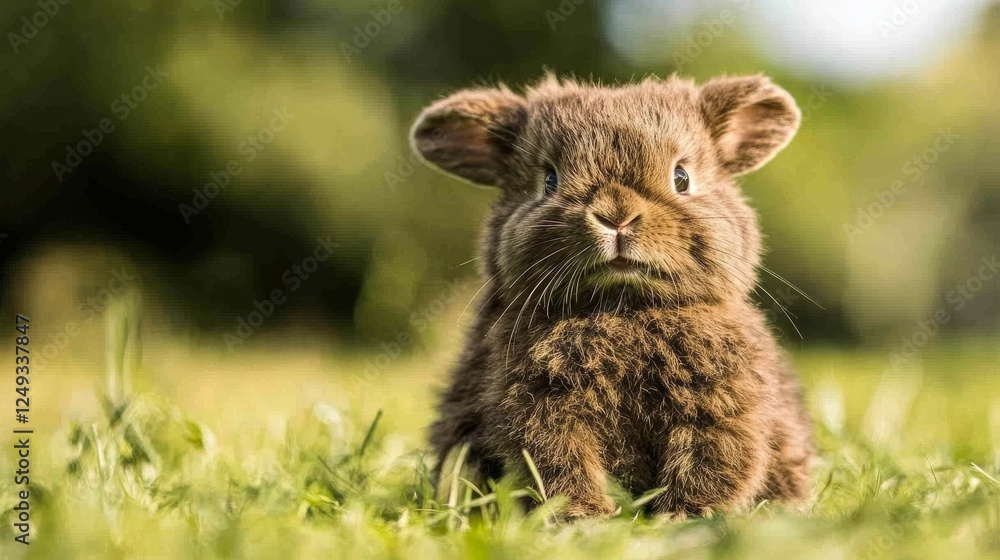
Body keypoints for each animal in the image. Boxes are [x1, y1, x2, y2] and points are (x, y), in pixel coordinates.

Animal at [410, 74, 814, 519]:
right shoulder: (541, 411)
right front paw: (582, 516)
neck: (621, 307)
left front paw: (683, 516)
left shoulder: (718, 406)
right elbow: (561, 463)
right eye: (549, 181)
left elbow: (711, 461)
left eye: (681, 178)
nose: (616, 216)